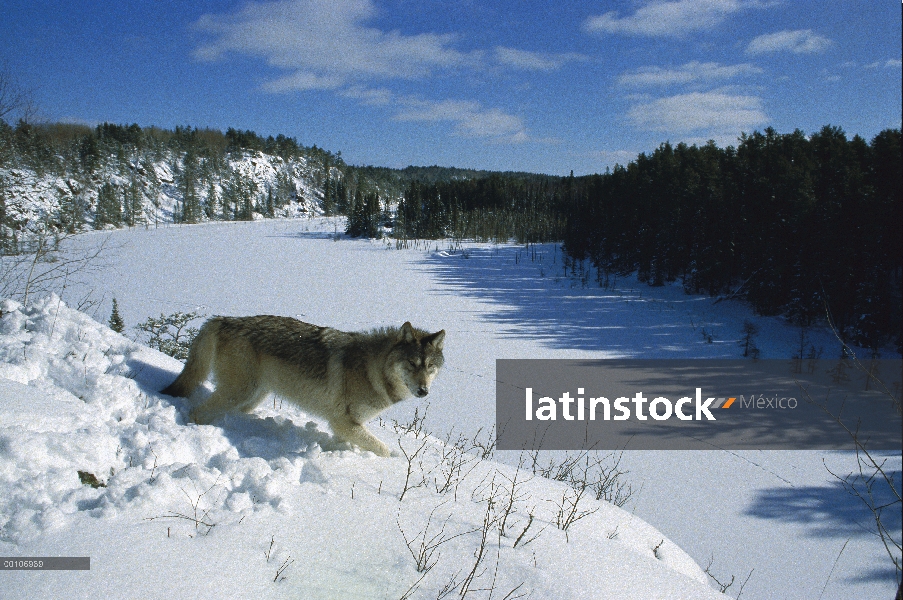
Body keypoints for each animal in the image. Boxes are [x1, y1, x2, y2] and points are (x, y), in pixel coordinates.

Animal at [164, 316, 446, 458]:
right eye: (412, 363)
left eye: (430, 366)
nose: (423, 391)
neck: (372, 370)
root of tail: (223, 319)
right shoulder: (343, 422)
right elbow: (384, 450)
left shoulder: (346, 427)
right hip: (239, 392)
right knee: (197, 412)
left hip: (253, 397)